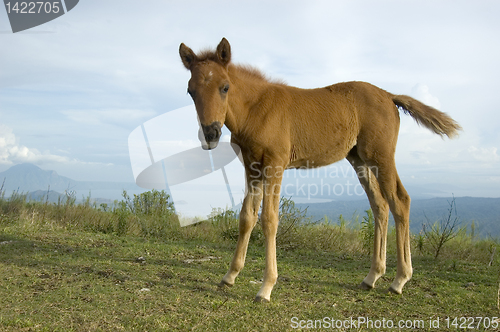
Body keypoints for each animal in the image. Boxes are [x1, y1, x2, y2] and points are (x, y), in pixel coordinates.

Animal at [179, 37, 460, 302]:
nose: (211, 134)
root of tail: (389, 95)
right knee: (380, 205)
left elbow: (269, 219)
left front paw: (266, 287)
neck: (256, 109)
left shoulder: (275, 164)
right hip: (360, 159)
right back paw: (372, 276)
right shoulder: (252, 167)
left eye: (225, 87)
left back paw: (400, 280)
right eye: (191, 91)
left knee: (400, 200)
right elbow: (246, 216)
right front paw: (230, 276)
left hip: (381, 156)